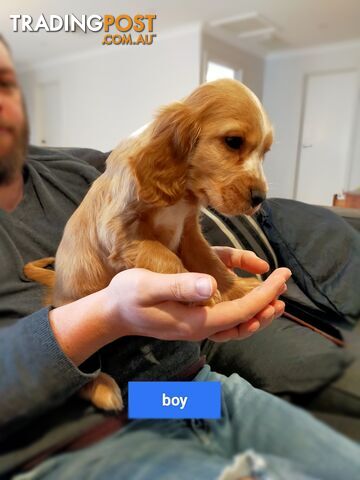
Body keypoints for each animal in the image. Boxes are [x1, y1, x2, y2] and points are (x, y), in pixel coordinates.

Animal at [25, 78, 272, 408]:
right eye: (233, 141)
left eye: (265, 152)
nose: (260, 199)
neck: (180, 194)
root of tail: (56, 291)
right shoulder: (121, 232)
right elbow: (166, 259)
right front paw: (199, 291)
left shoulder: (189, 231)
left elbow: (209, 260)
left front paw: (236, 287)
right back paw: (102, 387)